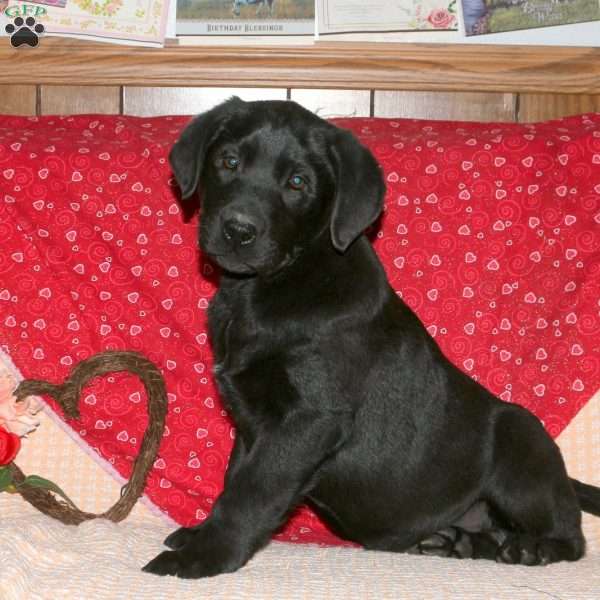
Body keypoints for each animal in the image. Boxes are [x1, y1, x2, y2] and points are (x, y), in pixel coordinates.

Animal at [144, 97, 600, 576]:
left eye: (298, 182)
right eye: (228, 161)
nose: (238, 230)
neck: (267, 288)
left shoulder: (308, 418)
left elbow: (252, 490)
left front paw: (205, 554)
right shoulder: (251, 420)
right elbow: (235, 477)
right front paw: (200, 534)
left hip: (520, 442)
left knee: (570, 535)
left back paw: (531, 548)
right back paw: (455, 543)